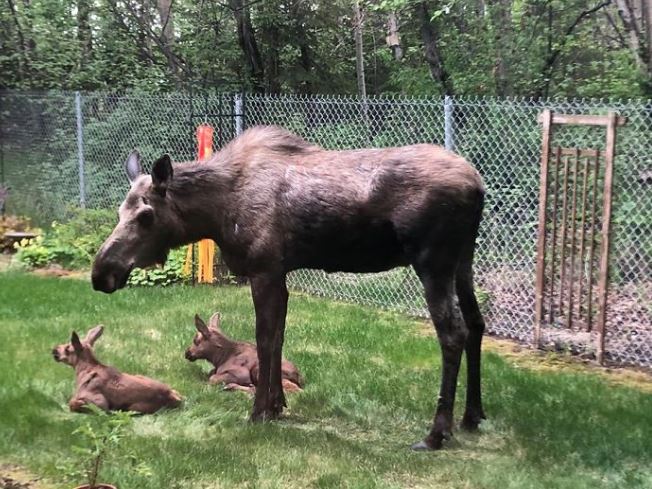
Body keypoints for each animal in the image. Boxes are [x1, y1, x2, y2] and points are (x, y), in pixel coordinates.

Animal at [51, 324, 182, 412]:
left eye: (68, 348)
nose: (54, 349)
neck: (81, 371)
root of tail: (174, 397)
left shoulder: (100, 402)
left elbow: (72, 403)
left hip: (134, 408)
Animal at [94, 126, 486, 450]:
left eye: (146, 215)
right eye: (119, 211)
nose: (101, 273)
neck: (216, 213)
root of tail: (479, 186)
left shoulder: (264, 270)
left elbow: (265, 340)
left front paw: (258, 412)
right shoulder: (279, 274)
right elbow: (279, 337)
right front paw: (278, 405)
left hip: (433, 262)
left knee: (453, 332)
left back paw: (437, 433)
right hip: (464, 259)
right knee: (476, 323)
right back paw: (472, 416)